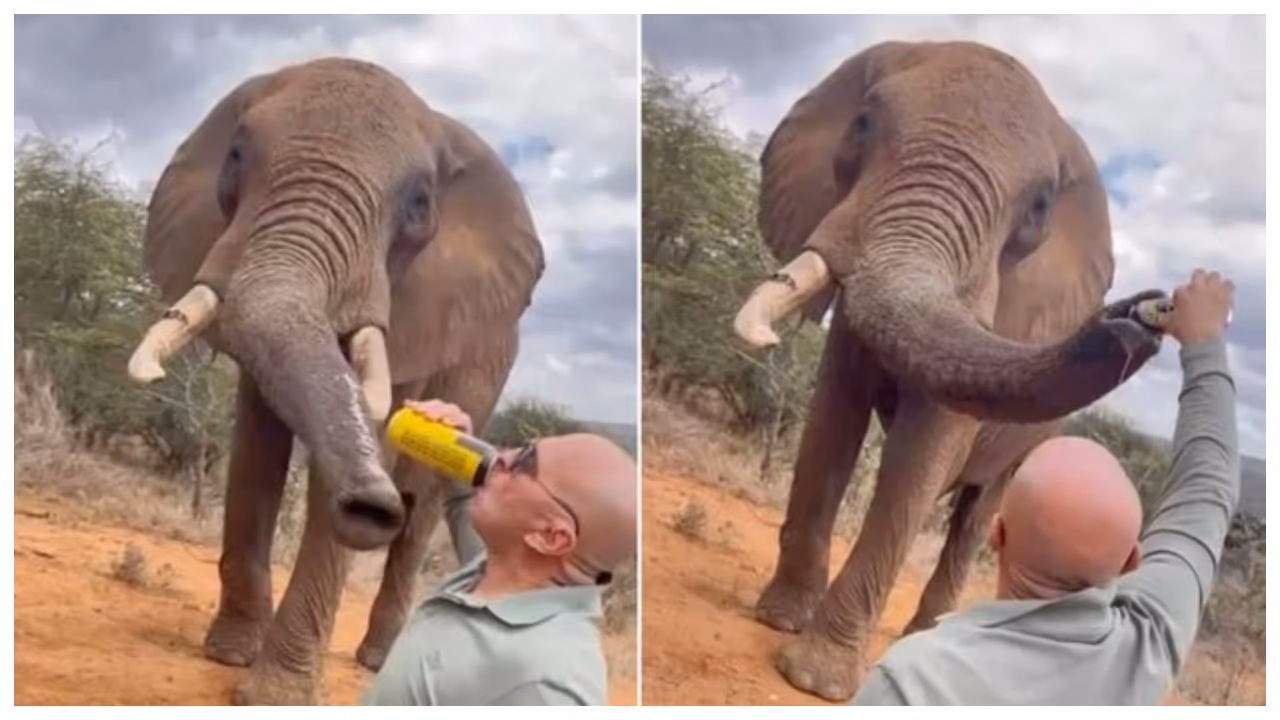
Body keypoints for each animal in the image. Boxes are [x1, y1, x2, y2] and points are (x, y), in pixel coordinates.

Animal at [126, 57, 544, 704]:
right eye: (236, 156)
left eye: (419, 202)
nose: (371, 504)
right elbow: (257, 446)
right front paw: (228, 655)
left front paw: (274, 696)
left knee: (421, 512)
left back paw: (377, 659)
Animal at [731, 40, 1165, 701]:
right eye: (861, 125)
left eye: (1039, 208)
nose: (1147, 311)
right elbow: (833, 413)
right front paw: (779, 620)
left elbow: (925, 447)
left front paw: (815, 679)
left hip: (1033, 444)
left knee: (978, 512)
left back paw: (931, 633)